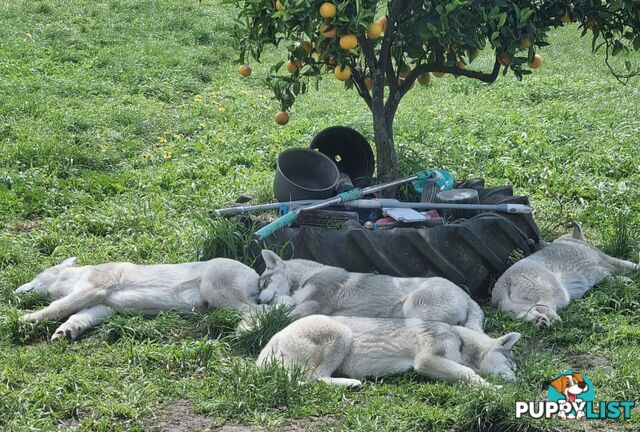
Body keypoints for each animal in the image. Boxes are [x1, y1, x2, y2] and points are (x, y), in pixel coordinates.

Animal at [15, 256, 260, 340]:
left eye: (36, 274)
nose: (15, 289)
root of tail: (257, 276)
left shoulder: (97, 284)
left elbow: (59, 305)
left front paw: (24, 319)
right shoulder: (104, 304)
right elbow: (82, 315)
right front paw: (64, 332)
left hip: (214, 284)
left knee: (255, 309)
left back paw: (244, 329)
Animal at [256, 250, 484, 330]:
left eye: (264, 283)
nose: (257, 301)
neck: (305, 276)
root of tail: (467, 297)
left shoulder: (315, 303)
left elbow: (286, 314)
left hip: (415, 308)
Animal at [256, 314, 520, 388]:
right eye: (511, 364)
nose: (519, 381)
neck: (461, 340)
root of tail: (278, 333)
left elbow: (465, 373)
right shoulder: (426, 361)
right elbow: (469, 373)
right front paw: (493, 389)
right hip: (342, 335)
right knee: (312, 379)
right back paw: (350, 384)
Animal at [492, 223, 636, 328]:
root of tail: (504, 281)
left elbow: (610, 278)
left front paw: (624, 280)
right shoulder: (605, 260)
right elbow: (628, 265)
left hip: (513, 305)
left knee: (525, 312)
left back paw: (540, 321)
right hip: (554, 291)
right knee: (542, 305)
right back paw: (554, 320)